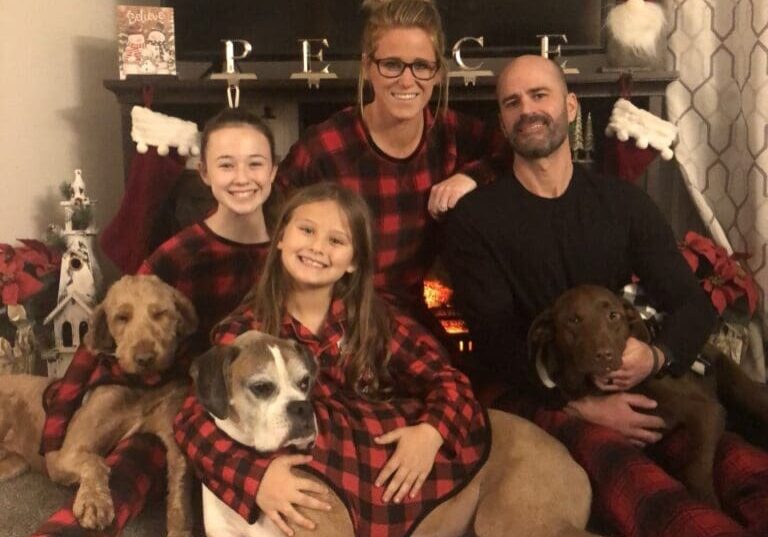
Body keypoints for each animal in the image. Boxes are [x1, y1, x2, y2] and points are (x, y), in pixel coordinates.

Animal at [0, 274, 201, 532]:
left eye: (160, 313)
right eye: (121, 317)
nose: (145, 359)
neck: (140, 386)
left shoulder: (173, 440)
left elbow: (180, 491)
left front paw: (180, 527)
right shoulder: (63, 454)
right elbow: (95, 461)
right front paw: (94, 503)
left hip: (14, 463)